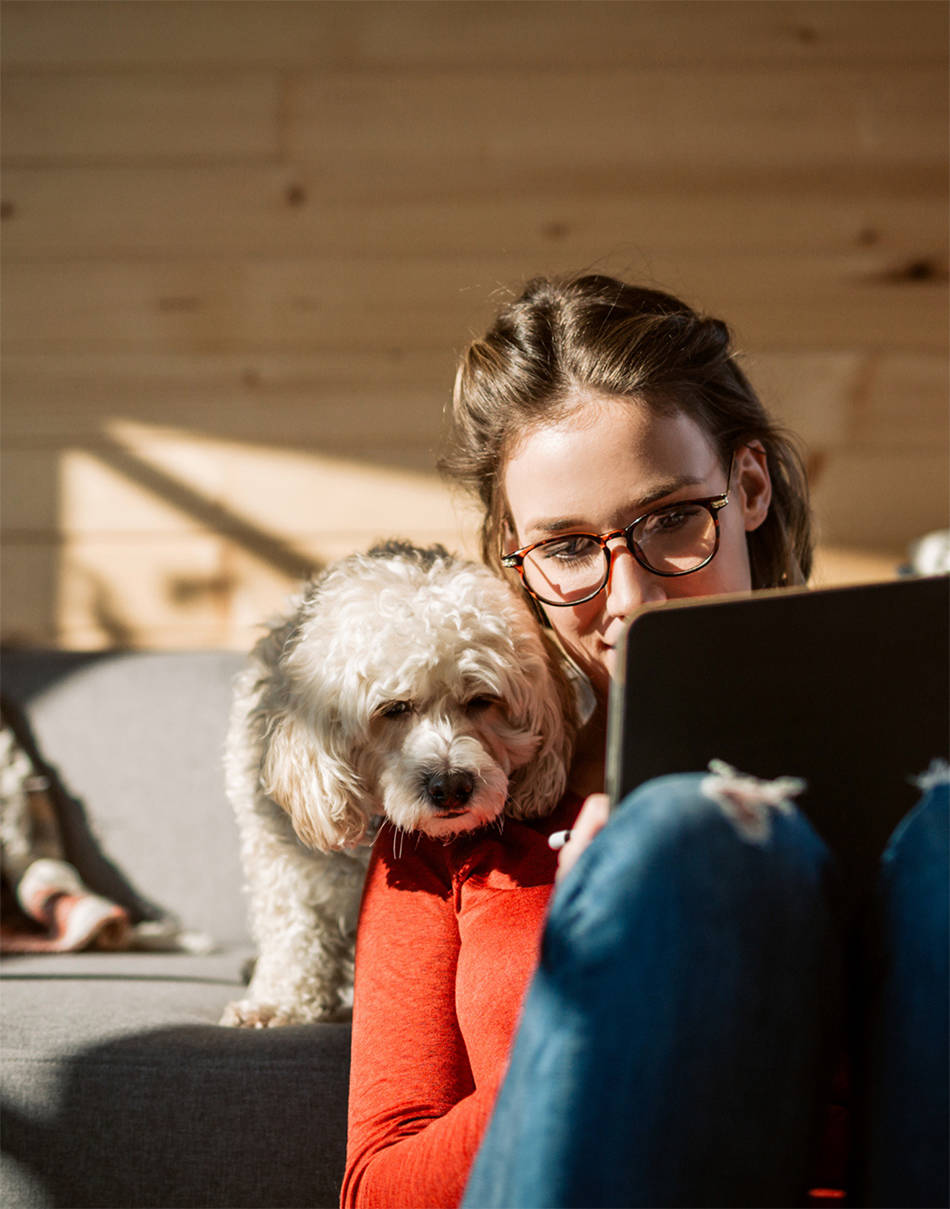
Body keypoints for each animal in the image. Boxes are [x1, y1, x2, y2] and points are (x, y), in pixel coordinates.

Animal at [218, 544, 570, 1025]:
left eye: (481, 700)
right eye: (394, 708)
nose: (451, 786)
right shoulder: (282, 859)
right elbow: (293, 929)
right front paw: (279, 1001)